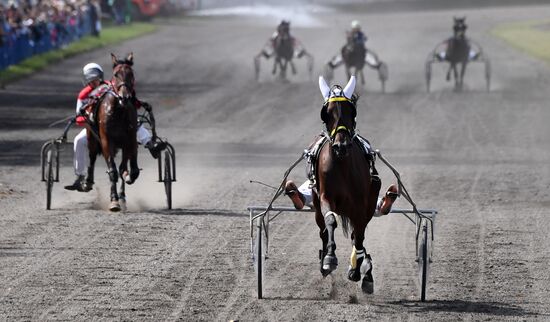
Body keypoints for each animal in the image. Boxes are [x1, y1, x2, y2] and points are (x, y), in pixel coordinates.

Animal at [87, 52, 140, 211]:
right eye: (116, 74)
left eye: (131, 74)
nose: (125, 97)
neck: (118, 111)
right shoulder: (106, 141)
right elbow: (113, 171)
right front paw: (114, 200)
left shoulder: (129, 140)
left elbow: (127, 170)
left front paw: (121, 195)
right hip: (92, 138)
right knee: (92, 157)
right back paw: (87, 181)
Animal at [312, 76, 382, 294]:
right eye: (326, 113)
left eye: (352, 111)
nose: (341, 146)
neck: (342, 166)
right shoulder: (325, 197)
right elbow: (330, 220)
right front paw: (329, 258)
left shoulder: (361, 204)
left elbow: (358, 236)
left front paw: (358, 270)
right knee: (323, 229)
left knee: (357, 234)